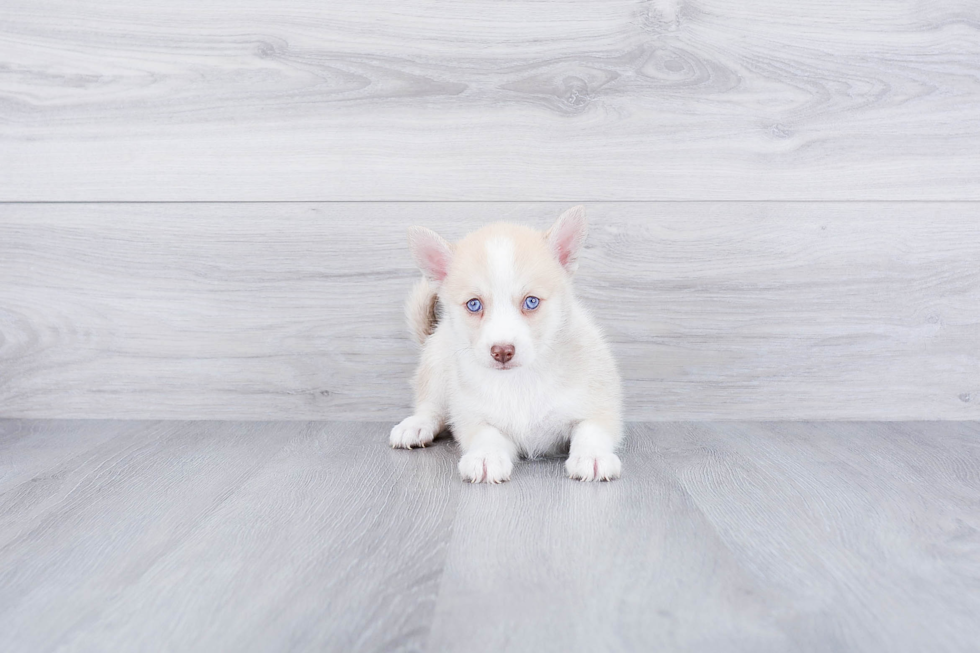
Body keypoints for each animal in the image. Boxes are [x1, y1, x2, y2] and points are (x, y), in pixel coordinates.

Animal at [388, 206, 624, 482]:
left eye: (531, 301)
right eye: (474, 304)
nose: (502, 351)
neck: (520, 381)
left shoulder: (600, 407)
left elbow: (591, 430)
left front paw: (592, 456)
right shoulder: (474, 417)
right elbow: (486, 434)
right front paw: (485, 456)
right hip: (437, 363)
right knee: (430, 407)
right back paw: (415, 426)